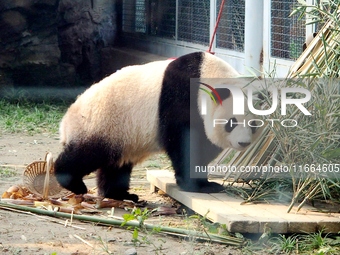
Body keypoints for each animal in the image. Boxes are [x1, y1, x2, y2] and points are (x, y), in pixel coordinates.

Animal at [54, 51, 258, 202]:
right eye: (232, 122)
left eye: (254, 124)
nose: (244, 143)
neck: (207, 73)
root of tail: (65, 123)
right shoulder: (180, 99)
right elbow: (183, 144)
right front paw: (197, 185)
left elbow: (204, 146)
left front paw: (207, 182)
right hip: (103, 124)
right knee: (87, 154)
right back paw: (73, 182)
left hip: (121, 135)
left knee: (115, 166)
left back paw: (120, 194)